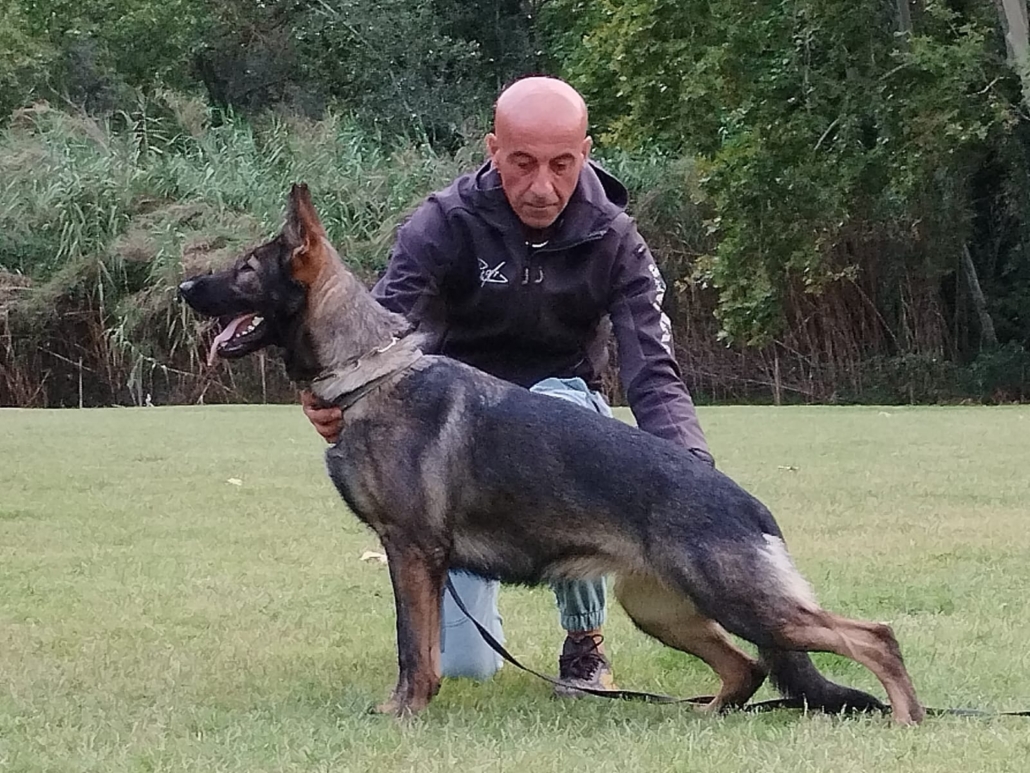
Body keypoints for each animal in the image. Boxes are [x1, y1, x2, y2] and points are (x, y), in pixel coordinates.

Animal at [177, 186, 927, 725]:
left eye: (244, 270)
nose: (184, 289)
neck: (366, 372)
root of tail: (749, 505)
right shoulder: (412, 556)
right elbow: (412, 645)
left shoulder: (411, 552)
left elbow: (413, 648)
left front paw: (404, 712)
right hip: (660, 608)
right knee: (748, 669)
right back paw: (703, 715)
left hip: (741, 601)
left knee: (872, 636)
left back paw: (906, 718)